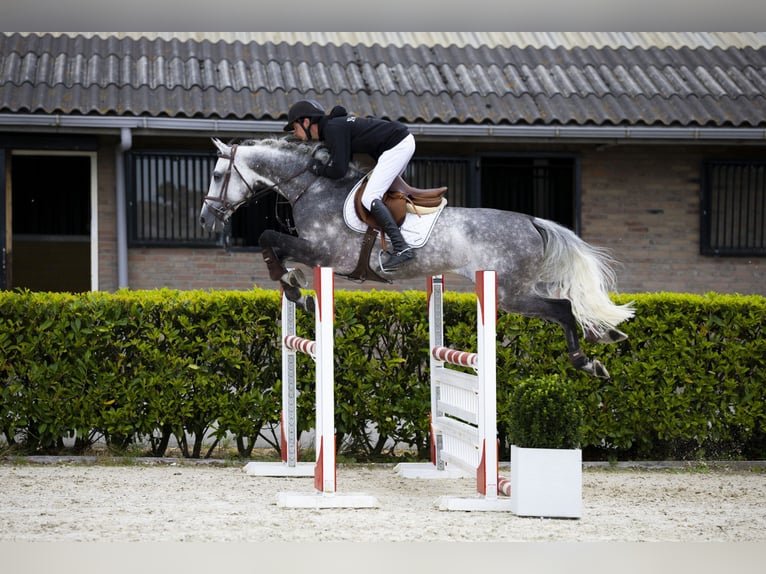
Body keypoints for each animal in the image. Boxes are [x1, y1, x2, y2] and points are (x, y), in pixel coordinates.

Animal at [200, 137, 634, 379]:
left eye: (219, 175)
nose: (206, 219)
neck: (314, 187)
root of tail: (532, 220)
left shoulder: (325, 253)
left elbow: (268, 238)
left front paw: (295, 288)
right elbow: (273, 244)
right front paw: (296, 287)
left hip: (509, 294)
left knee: (563, 308)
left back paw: (588, 363)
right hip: (525, 285)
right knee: (573, 303)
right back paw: (606, 335)